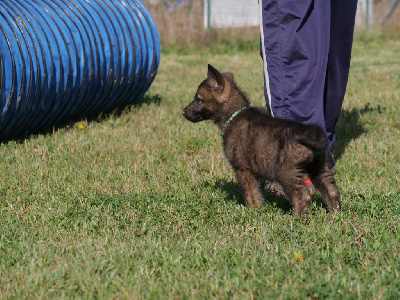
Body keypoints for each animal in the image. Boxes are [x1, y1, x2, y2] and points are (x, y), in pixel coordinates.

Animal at [183, 64, 340, 219]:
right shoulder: (256, 172)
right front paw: (259, 209)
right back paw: (335, 215)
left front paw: (251, 211)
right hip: (320, 168)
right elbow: (258, 193)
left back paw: (295, 218)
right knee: (332, 191)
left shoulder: (244, 169)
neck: (233, 115)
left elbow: (250, 194)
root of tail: (314, 133)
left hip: (287, 172)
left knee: (302, 196)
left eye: (198, 99)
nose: (183, 112)